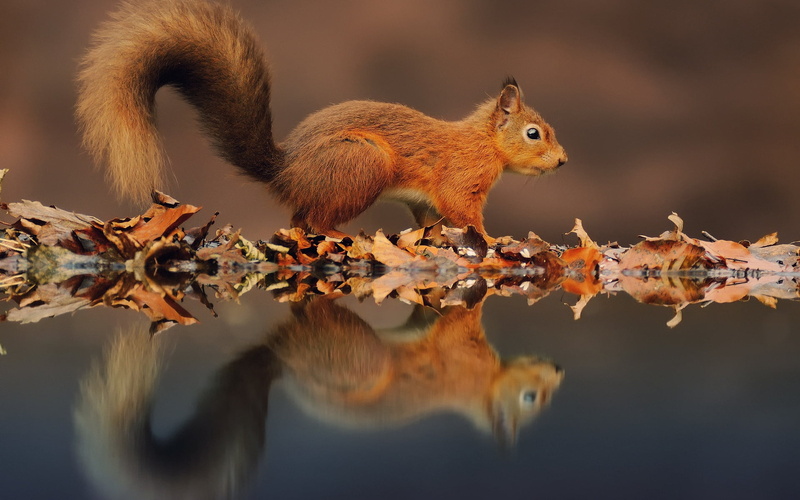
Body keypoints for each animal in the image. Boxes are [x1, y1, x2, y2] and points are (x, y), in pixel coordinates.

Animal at [77, 0, 567, 238]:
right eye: (533, 133)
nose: (562, 161)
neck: (483, 143)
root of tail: (286, 171)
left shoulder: (426, 201)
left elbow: (432, 219)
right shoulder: (460, 179)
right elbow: (464, 214)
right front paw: (494, 241)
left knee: (299, 220)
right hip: (362, 165)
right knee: (314, 220)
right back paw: (343, 235)